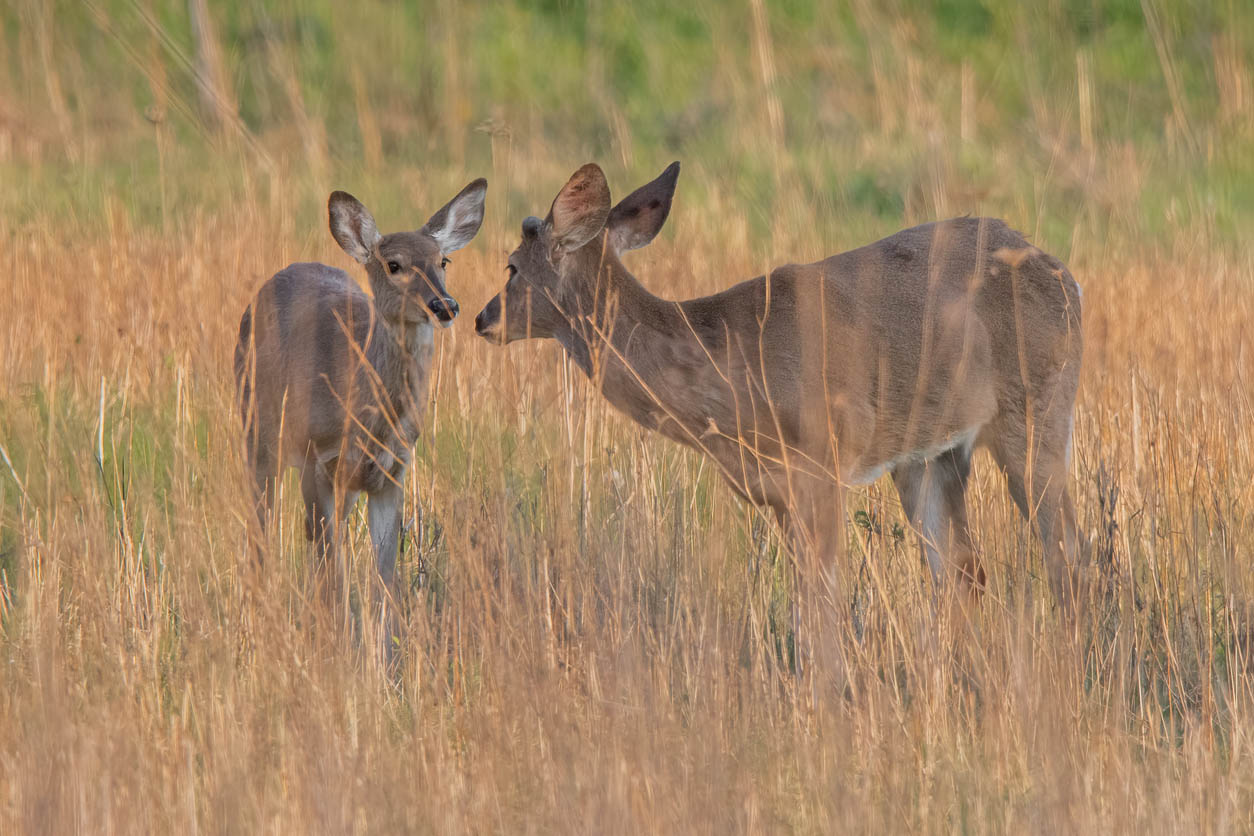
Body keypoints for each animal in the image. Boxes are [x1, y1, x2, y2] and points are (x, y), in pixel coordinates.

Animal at [236, 181, 487, 605]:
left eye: (443, 261)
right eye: (393, 264)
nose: (444, 305)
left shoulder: (393, 471)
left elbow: (385, 576)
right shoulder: (316, 457)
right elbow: (330, 573)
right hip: (257, 433)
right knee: (263, 529)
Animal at [473, 162, 1086, 644]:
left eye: (510, 265)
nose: (481, 318)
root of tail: (1066, 277)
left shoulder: (823, 460)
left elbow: (821, 606)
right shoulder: (777, 491)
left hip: (1038, 407)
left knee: (1070, 557)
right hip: (929, 452)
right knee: (965, 571)